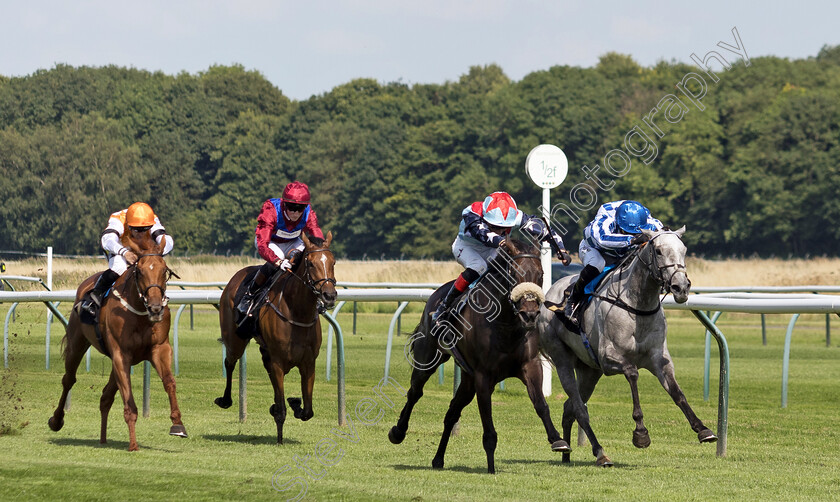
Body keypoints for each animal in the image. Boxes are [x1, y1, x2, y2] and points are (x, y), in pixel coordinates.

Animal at [48, 231, 185, 452]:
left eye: (164, 271)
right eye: (140, 271)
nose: (156, 308)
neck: (139, 312)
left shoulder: (159, 349)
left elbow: (169, 382)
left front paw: (178, 424)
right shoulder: (121, 354)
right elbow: (128, 400)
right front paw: (133, 444)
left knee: (105, 396)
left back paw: (103, 438)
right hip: (78, 343)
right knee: (69, 380)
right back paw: (56, 420)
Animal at [217, 231, 338, 444]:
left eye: (333, 262)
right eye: (311, 264)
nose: (329, 295)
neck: (297, 312)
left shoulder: (308, 362)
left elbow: (307, 411)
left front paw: (294, 403)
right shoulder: (278, 362)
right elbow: (282, 408)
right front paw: (280, 437)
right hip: (235, 340)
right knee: (229, 362)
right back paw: (225, 399)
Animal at [388, 239, 572, 474]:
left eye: (540, 275)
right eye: (514, 273)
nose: (529, 315)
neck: (506, 324)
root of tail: (435, 295)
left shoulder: (530, 366)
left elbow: (540, 404)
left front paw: (558, 440)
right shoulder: (484, 377)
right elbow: (488, 425)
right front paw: (491, 467)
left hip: (467, 380)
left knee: (451, 413)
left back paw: (438, 459)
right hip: (429, 358)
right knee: (415, 392)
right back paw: (398, 431)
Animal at [540, 227, 716, 466]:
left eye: (684, 250)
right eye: (658, 251)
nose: (681, 287)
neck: (638, 305)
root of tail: (549, 295)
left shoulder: (659, 358)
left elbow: (677, 393)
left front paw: (703, 429)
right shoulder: (609, 359)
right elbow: (632, 373)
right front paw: (641, 433)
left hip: (589, 371)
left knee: (570, 408)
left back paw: (567, 454)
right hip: (562, 359)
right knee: (579, 408)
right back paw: (600, 453)